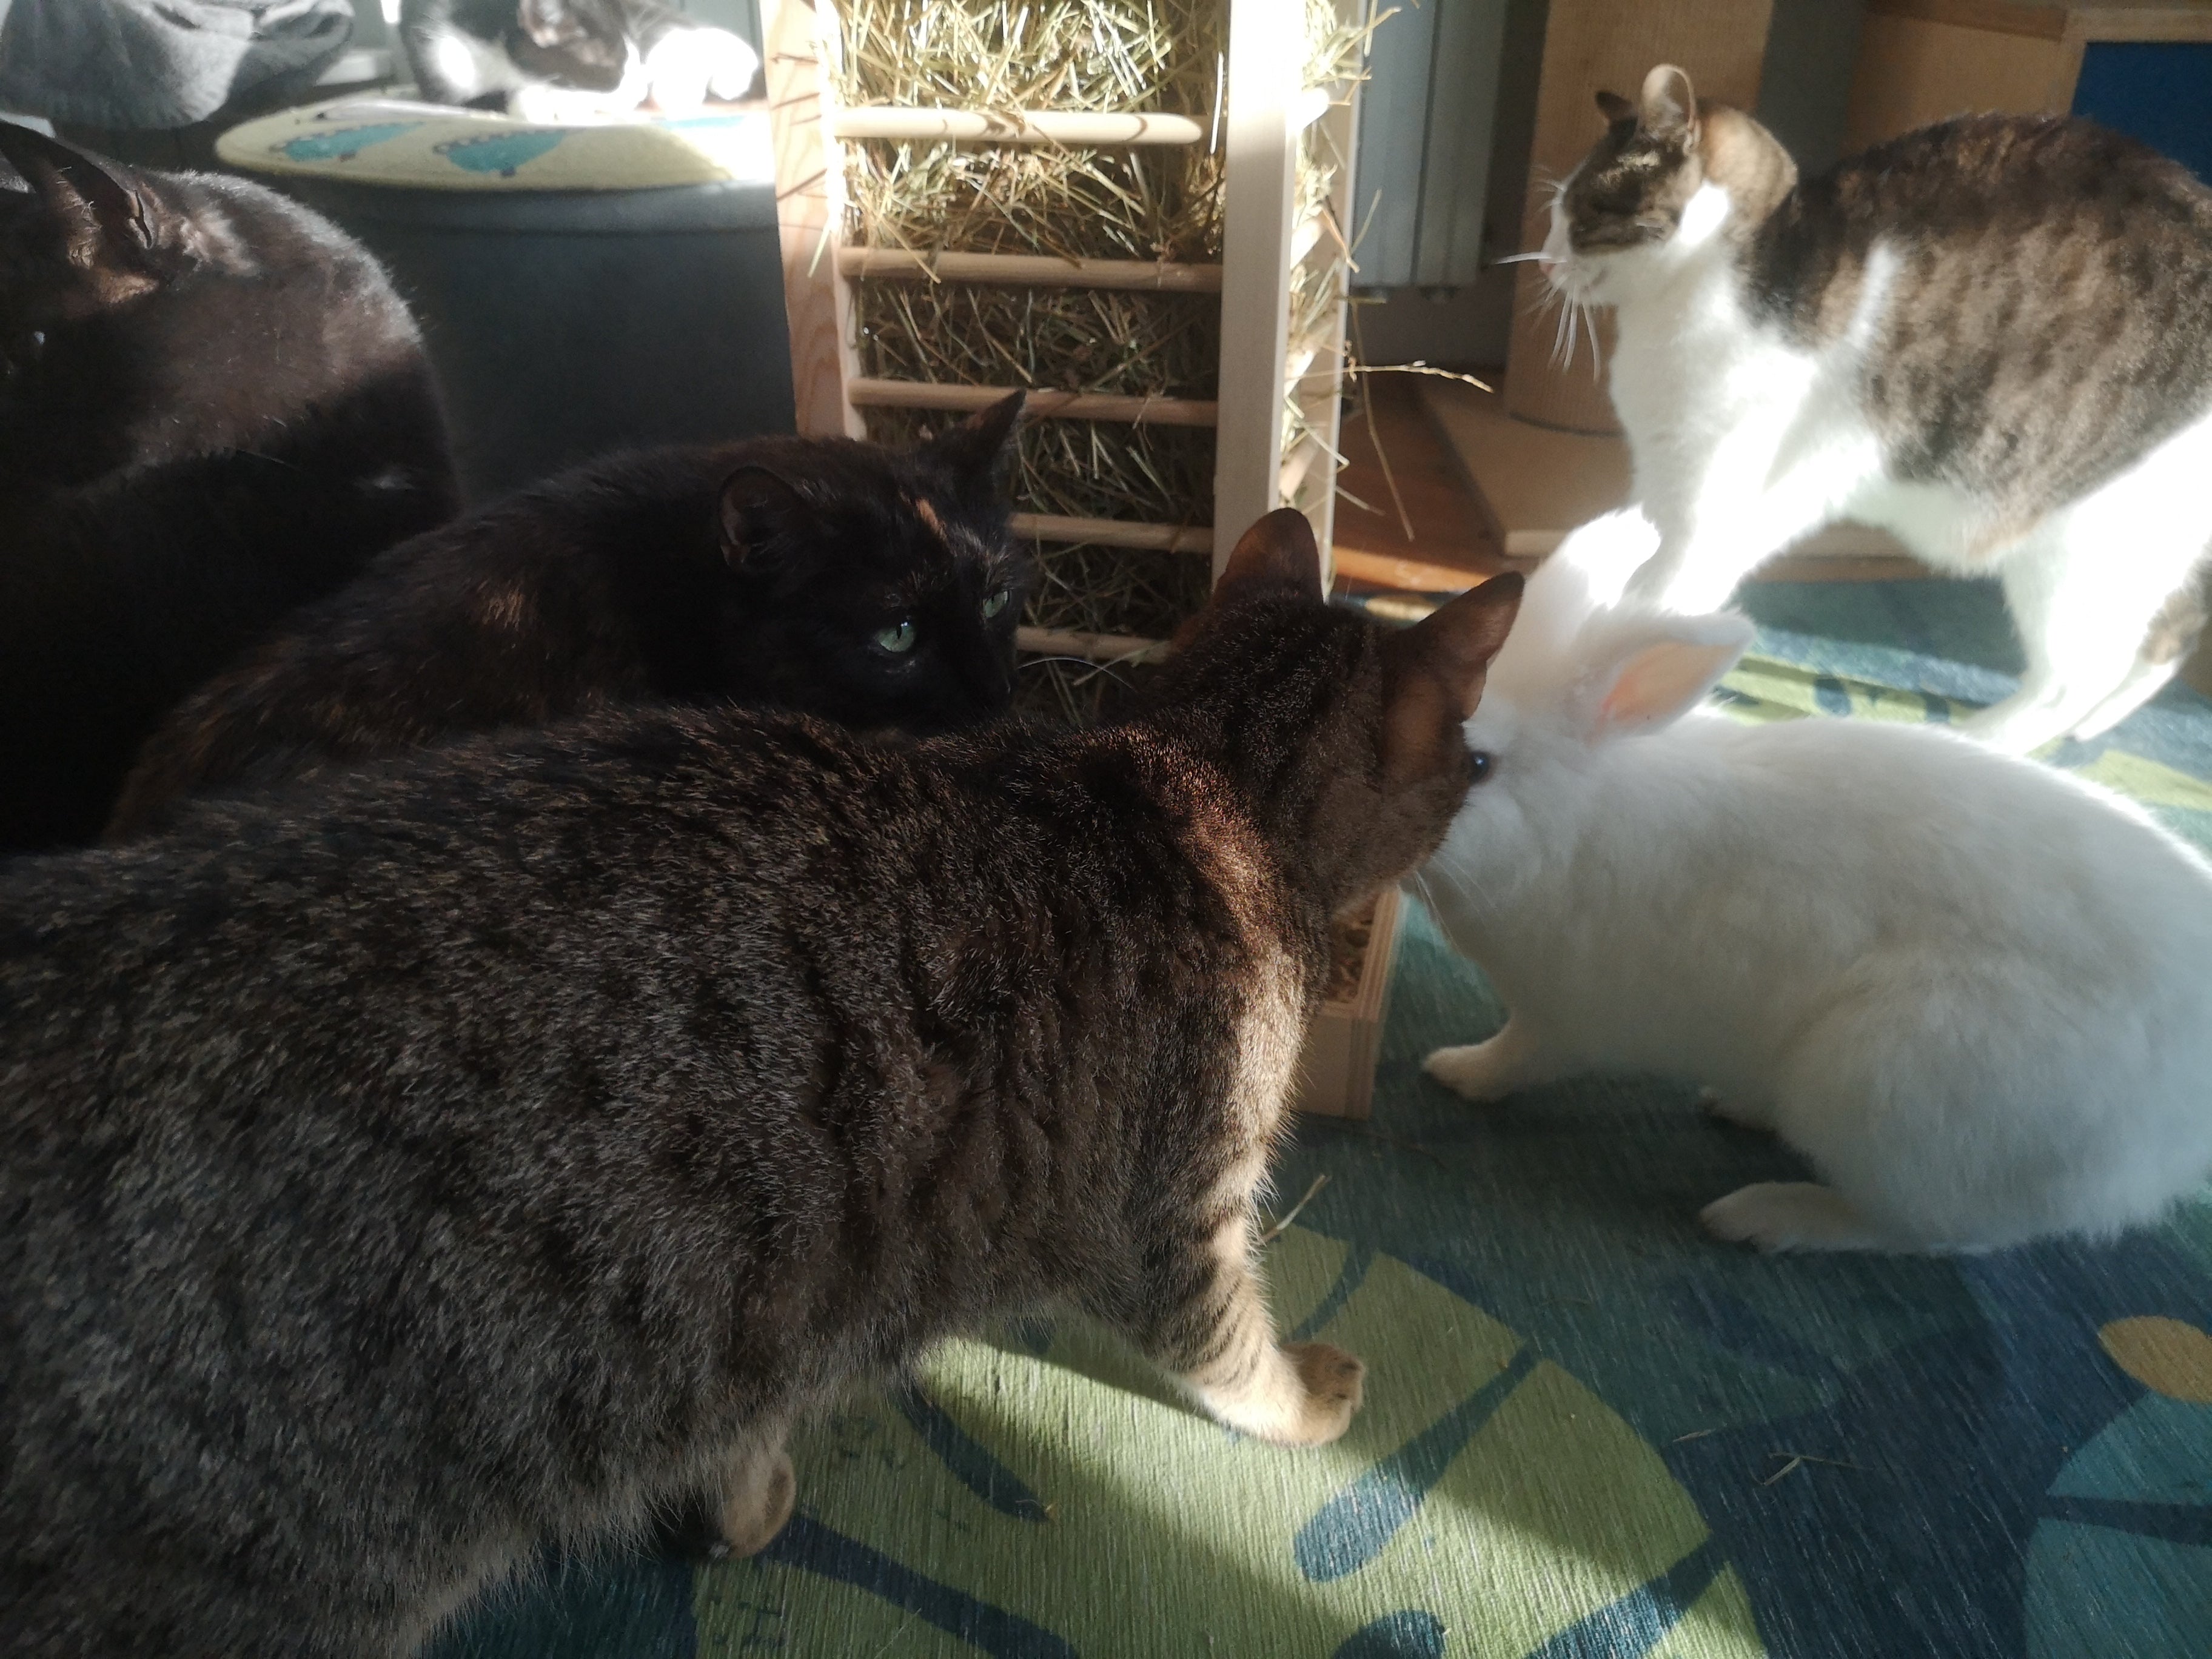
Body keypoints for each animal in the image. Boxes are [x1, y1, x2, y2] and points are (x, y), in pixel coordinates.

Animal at [1416, 510, 2212, 1252]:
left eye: (1477, 766)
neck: (1571, 821)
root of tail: (2175, 1148)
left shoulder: (1562, 1019)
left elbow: (1515, 1057)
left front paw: (1453, 1071)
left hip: (1891, 1091)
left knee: (1929, 1231)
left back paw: (1761, 1216)